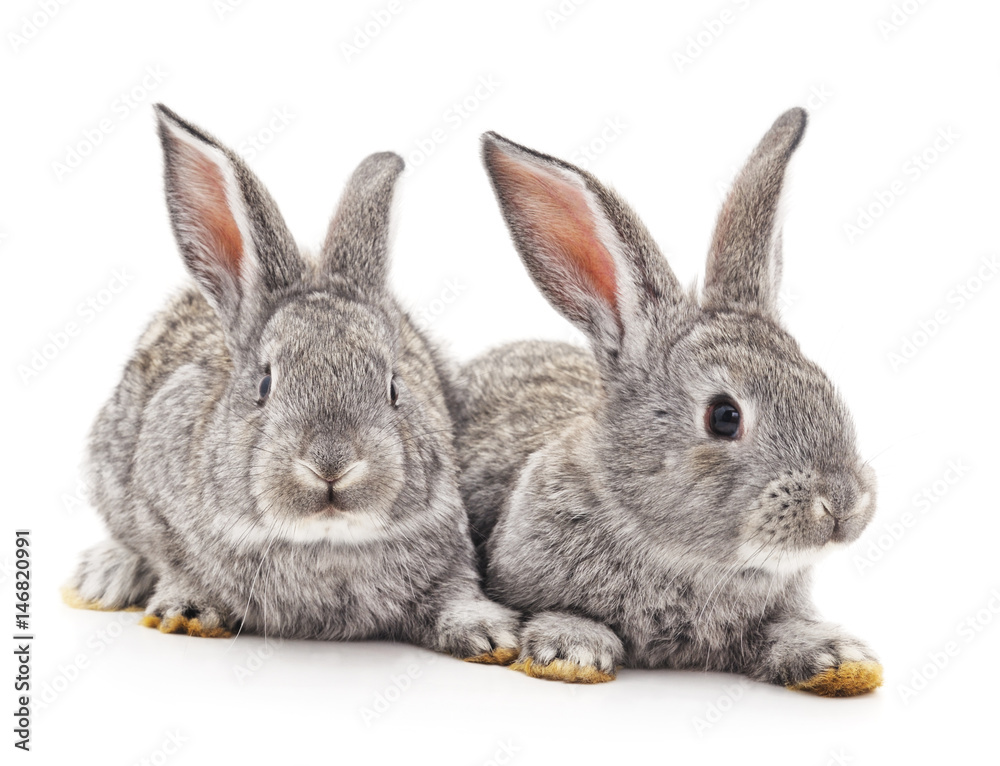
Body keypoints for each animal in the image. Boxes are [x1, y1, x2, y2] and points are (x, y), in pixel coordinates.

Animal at [63, 104, 519, 663]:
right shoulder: (157, 501)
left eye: (394, 387)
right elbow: (173, 558)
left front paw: (490, 637)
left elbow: (454, 592)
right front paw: (186, 609)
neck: (323, 541)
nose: (331, 466)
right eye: (264, 385)